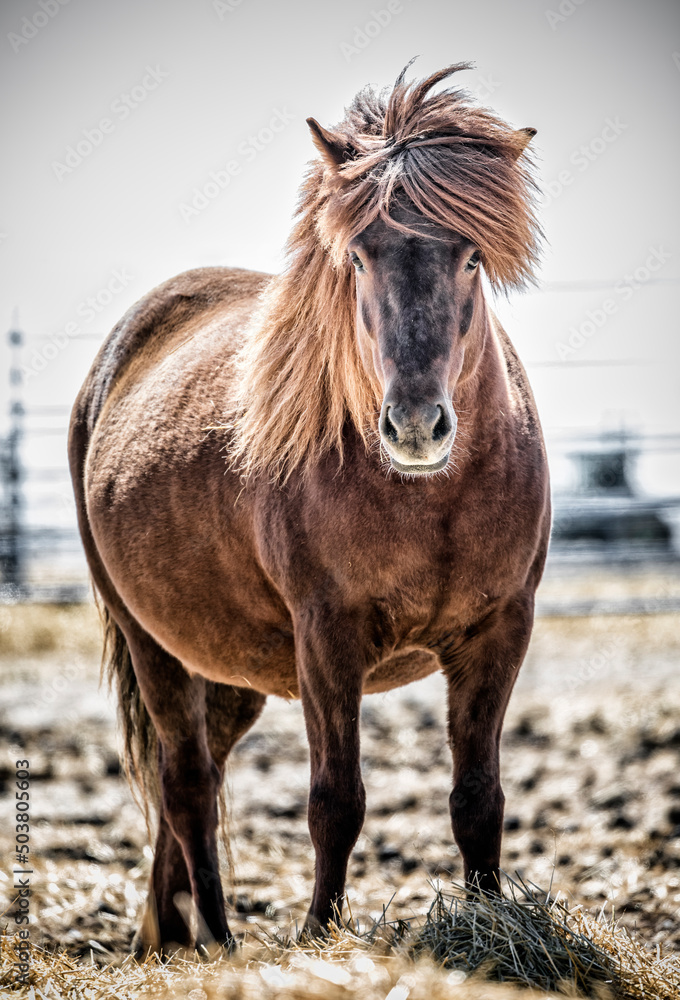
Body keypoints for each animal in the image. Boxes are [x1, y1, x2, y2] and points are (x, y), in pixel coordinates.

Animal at [68, 62, 550, 953]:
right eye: (358, 256)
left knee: (194, 775)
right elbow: (337, 801)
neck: (430, 501)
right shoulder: (329, 636)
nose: (415, 424)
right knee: (187, 784)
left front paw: (489, 924)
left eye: (471, 256)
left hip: (226, 666)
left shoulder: (500, 629)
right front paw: (319, 935)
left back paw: (167, 937)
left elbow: (479, 799)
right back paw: (217, 942)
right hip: (149, 640)